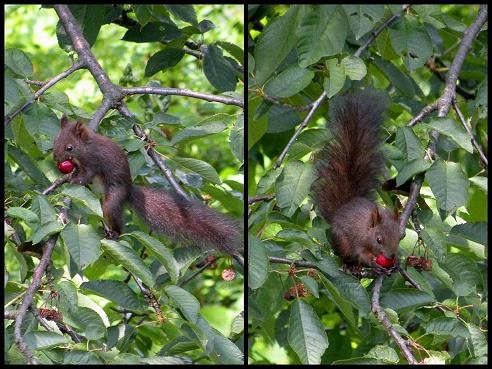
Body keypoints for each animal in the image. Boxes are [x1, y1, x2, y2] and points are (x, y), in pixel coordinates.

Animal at [53, 116, 242, 254]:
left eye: (70, 147)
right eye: (55, 141)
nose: (55, 158)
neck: (86, 147)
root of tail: (129, 190)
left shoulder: (94, 161)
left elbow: (86, 175)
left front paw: (74, 180)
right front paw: (69, 174)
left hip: (112, 199)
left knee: (113, 213)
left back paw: (114, 233)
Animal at [312, 89, 400, 268]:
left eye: (400, 237)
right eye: (378, 239)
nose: (391, 255)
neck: (367, 229)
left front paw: (397, 262)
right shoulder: (357, 240)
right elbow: (360, 253)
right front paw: (372, 262)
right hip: (340, 240)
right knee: (345, 255)